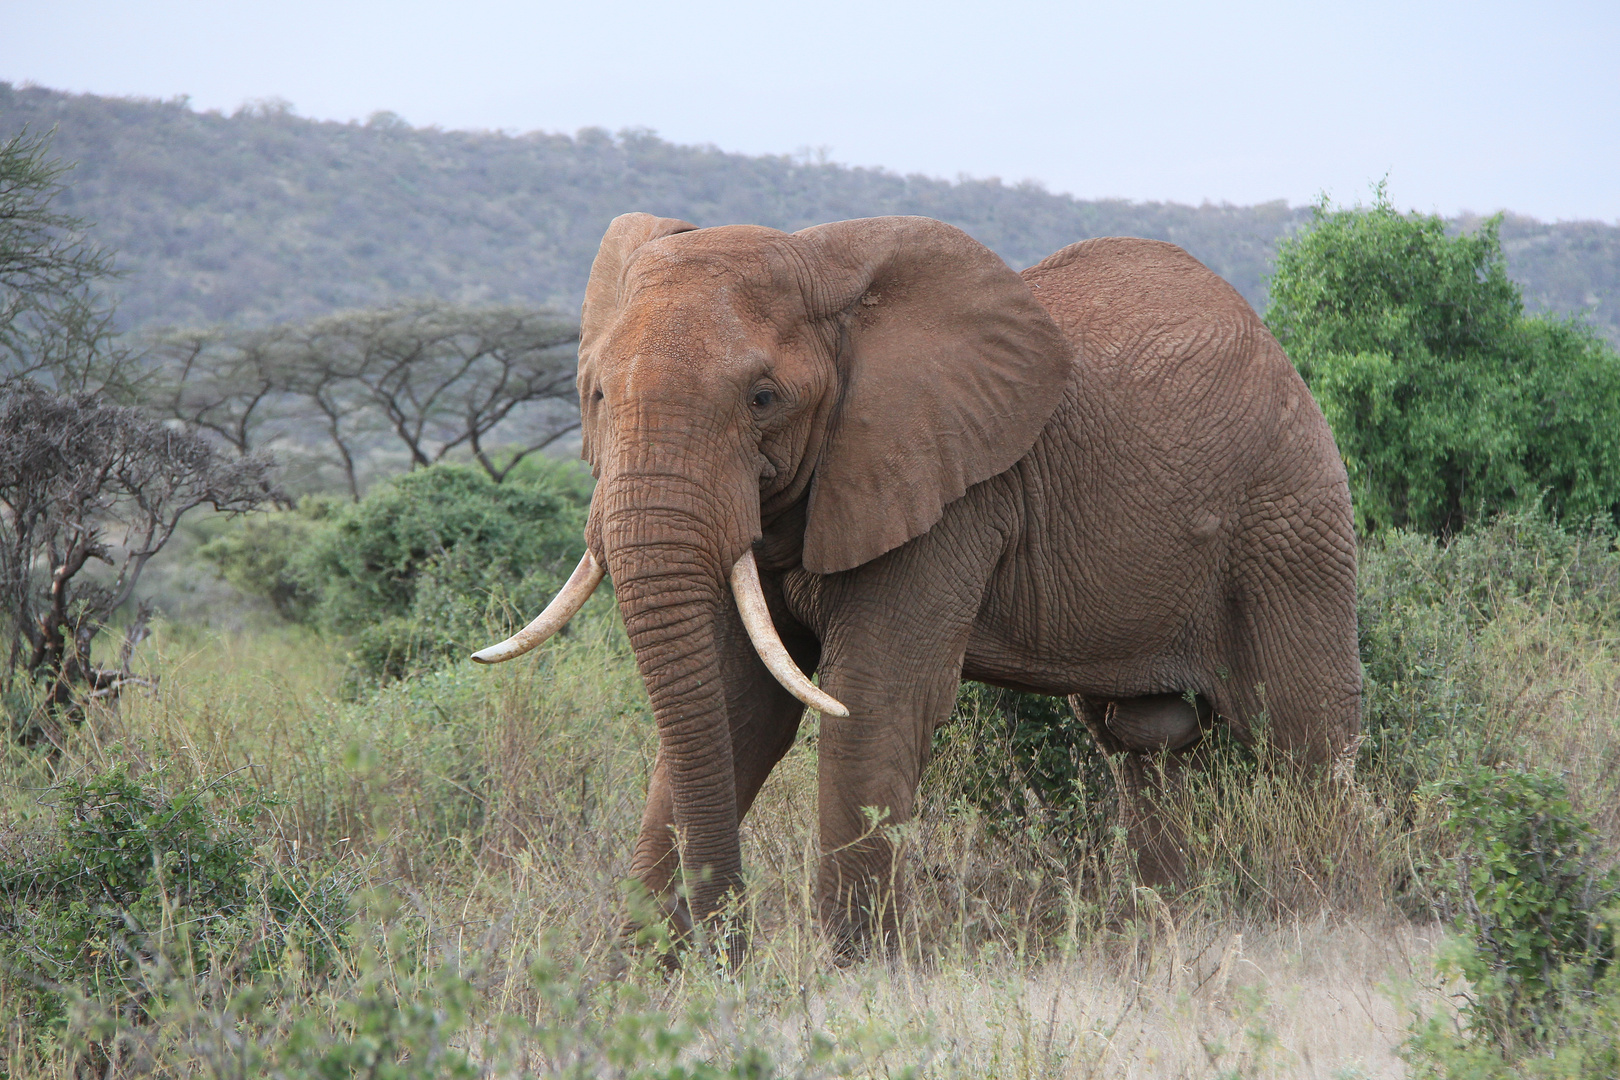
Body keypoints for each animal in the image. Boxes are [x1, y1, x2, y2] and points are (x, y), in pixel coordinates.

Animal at [473, 215, 1360, 958]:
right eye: (595, 393)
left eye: (763, 398)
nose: (735, 943)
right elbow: (734, 702)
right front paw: (644, 979)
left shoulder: (949, 495)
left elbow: (873, 699)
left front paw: (853, 974)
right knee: (1150, 741)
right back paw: (1168, 934)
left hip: (1289, 525)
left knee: (1305, 740)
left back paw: (1334, 924)